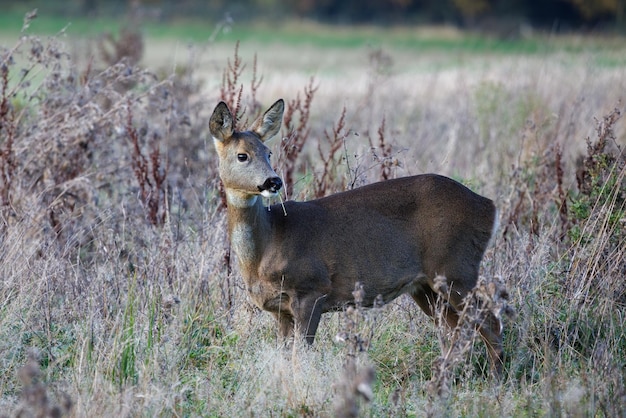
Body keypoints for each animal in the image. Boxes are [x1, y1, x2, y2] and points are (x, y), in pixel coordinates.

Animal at [210, 99, 502, 376]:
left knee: (490, 321)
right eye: (242, 155)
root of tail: (489, 207)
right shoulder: (280, 309)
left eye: (268, 152)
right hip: (426, 286)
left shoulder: (312, 289)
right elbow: (284, 358)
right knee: (457, 330)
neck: (267, 244)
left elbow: (299, 357)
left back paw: (494, 380)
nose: (274, 181)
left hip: (456, 267)